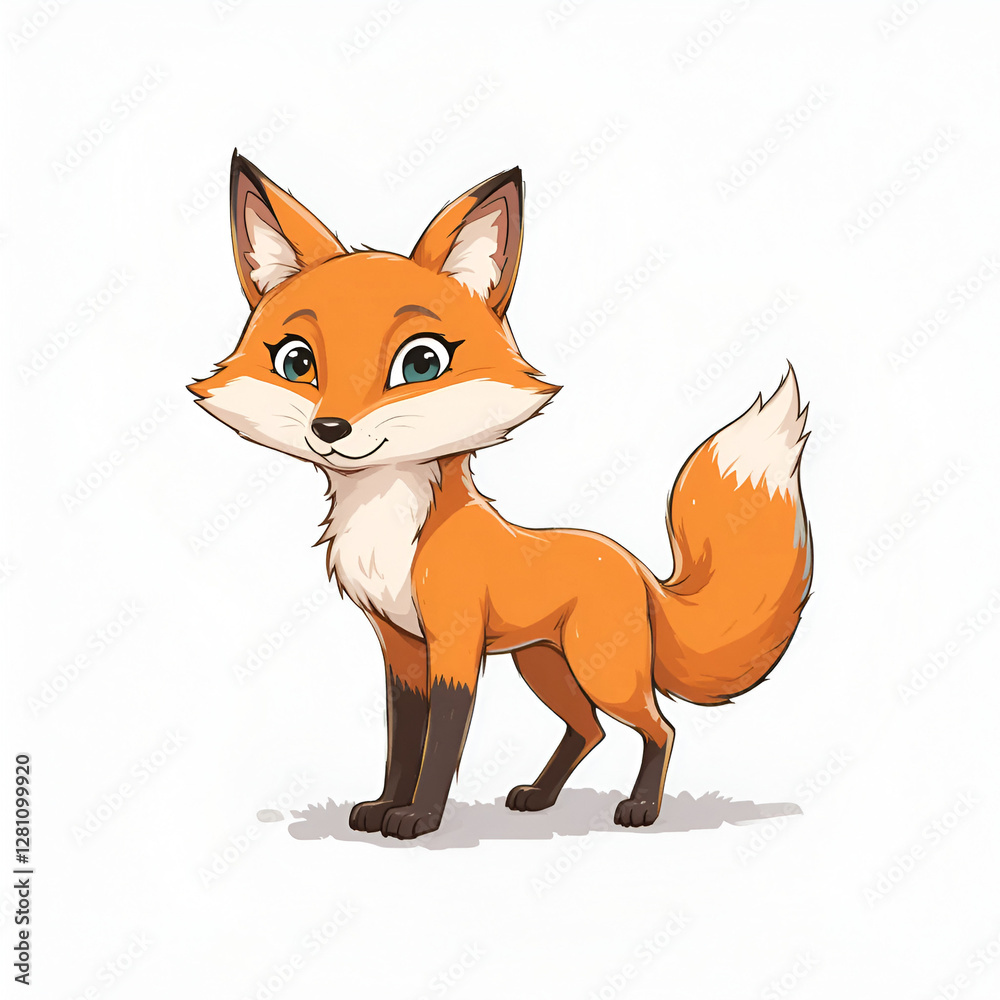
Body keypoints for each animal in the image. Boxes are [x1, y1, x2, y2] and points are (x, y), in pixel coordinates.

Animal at [189, 152, 813, 841]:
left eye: (421, 363)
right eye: (297, 363)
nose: (330, 429)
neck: (390, 531)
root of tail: (638, 568)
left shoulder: (454, 645)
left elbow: (440, 745)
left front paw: (419, 819)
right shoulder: (401, 650)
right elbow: (402, 742)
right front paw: (383, 806)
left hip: (599, 669)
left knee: (660, 728)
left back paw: (642, 808)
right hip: (545, 667)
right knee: (590, 731)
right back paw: (540, 796)